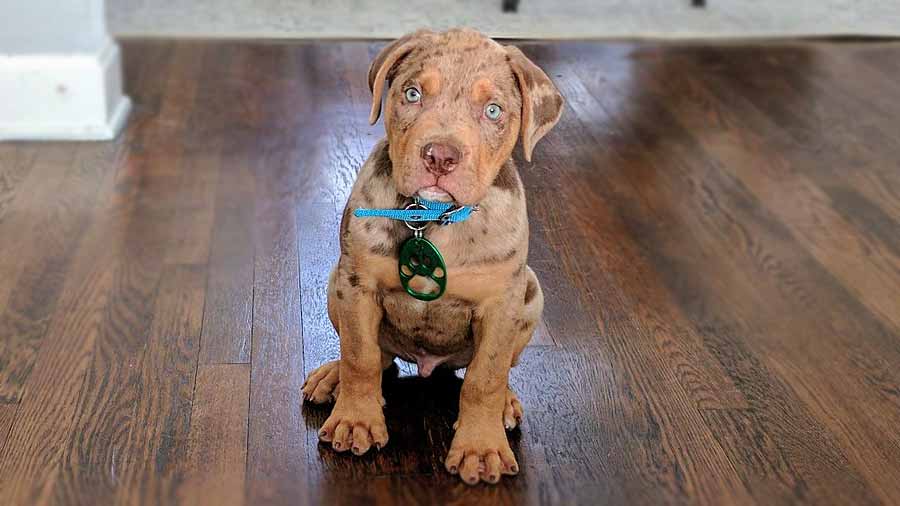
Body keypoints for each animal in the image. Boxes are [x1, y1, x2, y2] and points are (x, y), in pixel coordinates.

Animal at [306, 28, 568, 486]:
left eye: (493, 111)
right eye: (412, 94)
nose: (440, 157)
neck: (431, 217)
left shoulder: (502, 304)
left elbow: (485, 376)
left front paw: (480, 447)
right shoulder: (357, 285)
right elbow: (360, 356)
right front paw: (356, 421)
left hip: (532, 295)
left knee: (496, 369)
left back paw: (505, 404)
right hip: (336, 278)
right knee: (378, 357)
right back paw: (331, 376)